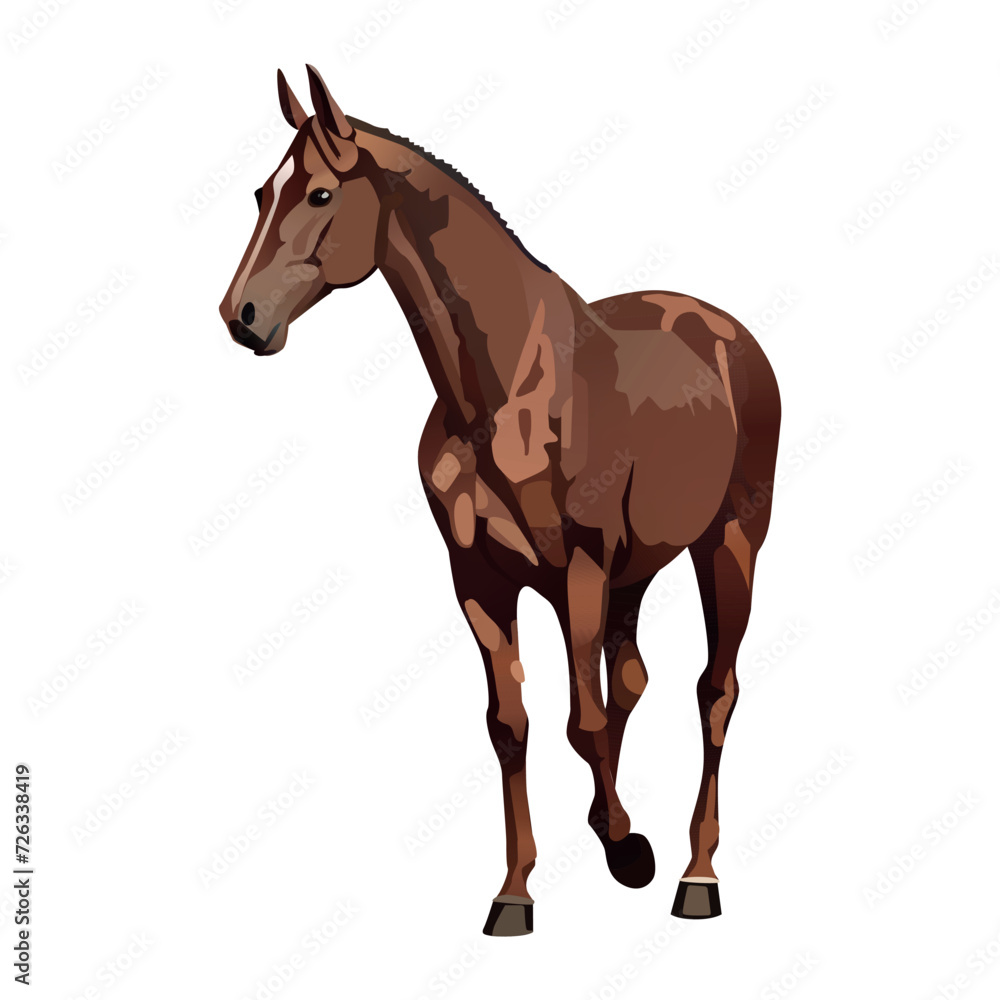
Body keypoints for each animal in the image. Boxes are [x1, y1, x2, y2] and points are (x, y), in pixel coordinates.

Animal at [220, 66, 781, 936]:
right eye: (259, 193)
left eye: (318, 193)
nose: (242, 317)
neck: (500, 391)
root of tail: (724, 332)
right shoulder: (480, 580)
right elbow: (510, 725)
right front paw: (517, 891)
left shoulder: (580, 568)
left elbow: (583, 720)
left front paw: (628, 850)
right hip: (637, 570)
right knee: (632, 679)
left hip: (729, 541)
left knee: (712, 693)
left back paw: (695, 874)